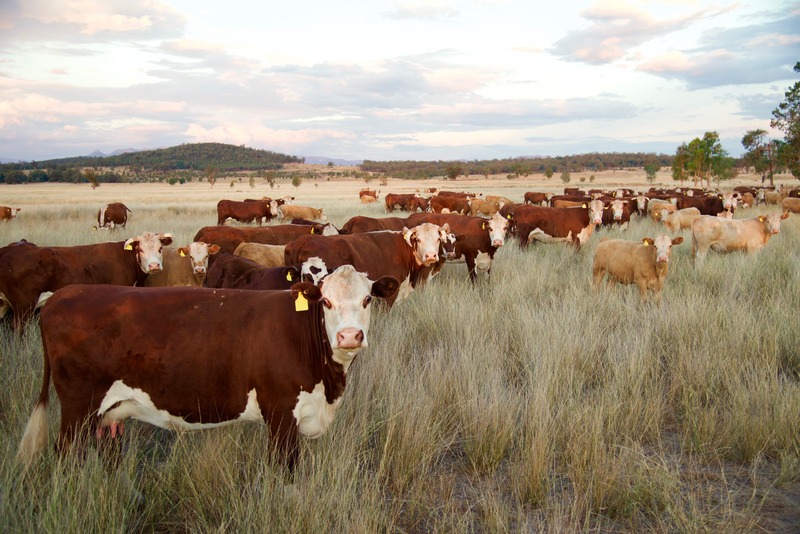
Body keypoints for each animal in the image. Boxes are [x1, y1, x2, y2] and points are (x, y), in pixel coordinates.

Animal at [15, 265, 400, 470]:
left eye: (367, 299)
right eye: (326, 301)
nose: (349, 336)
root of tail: (62, 294)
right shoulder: (280, 415)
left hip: (106, 414)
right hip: (77, 408)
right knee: (67, 456)